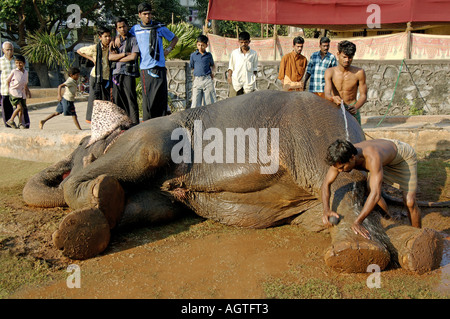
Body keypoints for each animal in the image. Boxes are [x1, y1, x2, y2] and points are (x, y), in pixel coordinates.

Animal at [22, 92, 442, 276]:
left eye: (80, 145)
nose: (66, 164)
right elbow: (152, 208)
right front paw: (101, 203)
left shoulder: (151, 134)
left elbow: (147, 154)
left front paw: (93, 197)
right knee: (337, 209)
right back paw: (420, 249)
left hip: (313, 133)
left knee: (346, 184)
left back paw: (358, 257)